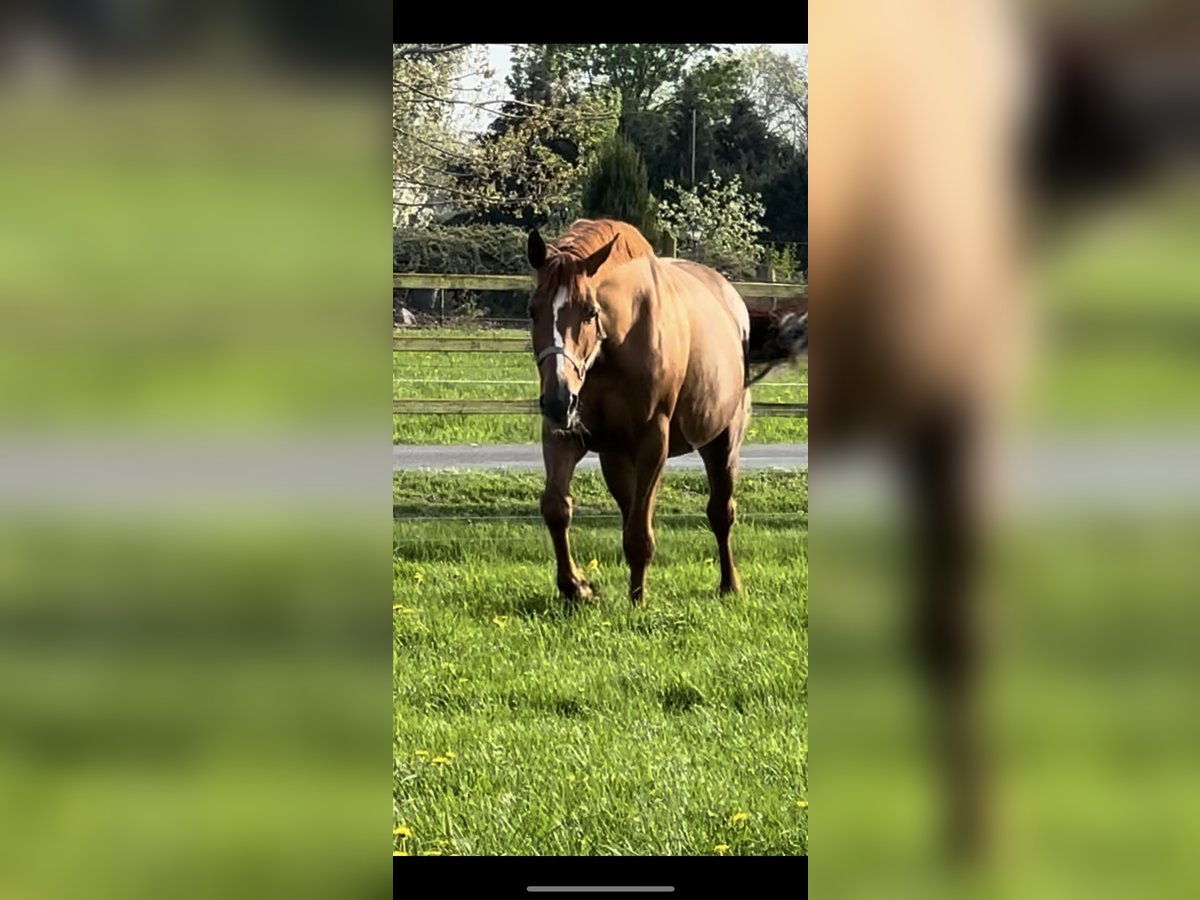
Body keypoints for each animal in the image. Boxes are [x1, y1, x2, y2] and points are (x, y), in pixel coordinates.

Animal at [528, 220, 796, 607]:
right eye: (533, 310)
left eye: (590, 312)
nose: (558, 399)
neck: (618, 344)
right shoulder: (565, 434)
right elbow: (556, 507)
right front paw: (576, 587)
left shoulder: (653, 440)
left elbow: (640, 532)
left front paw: (638, 600)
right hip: (616, 456)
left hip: (723, 440)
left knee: (721, 513)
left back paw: (729, 584)